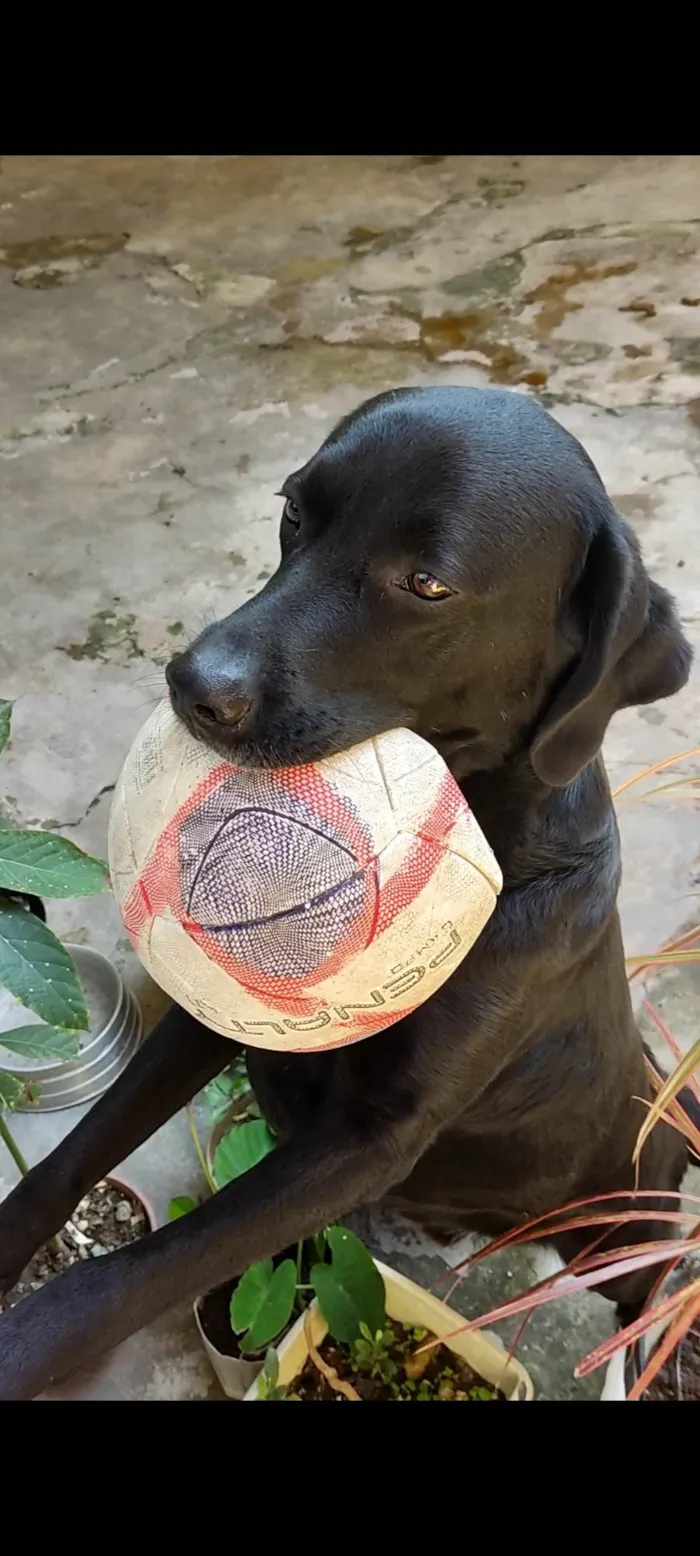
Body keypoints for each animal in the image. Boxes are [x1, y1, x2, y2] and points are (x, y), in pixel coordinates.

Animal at [0, 385, 693, 1400]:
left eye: (429, 585)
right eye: (295, 512)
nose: (190, 685)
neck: (497, 835)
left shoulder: (368, 1142)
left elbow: (123, 1278)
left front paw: (24, 1348)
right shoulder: (217, 1018)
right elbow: (72, 1157)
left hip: (626, 1217)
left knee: (642, 1294)